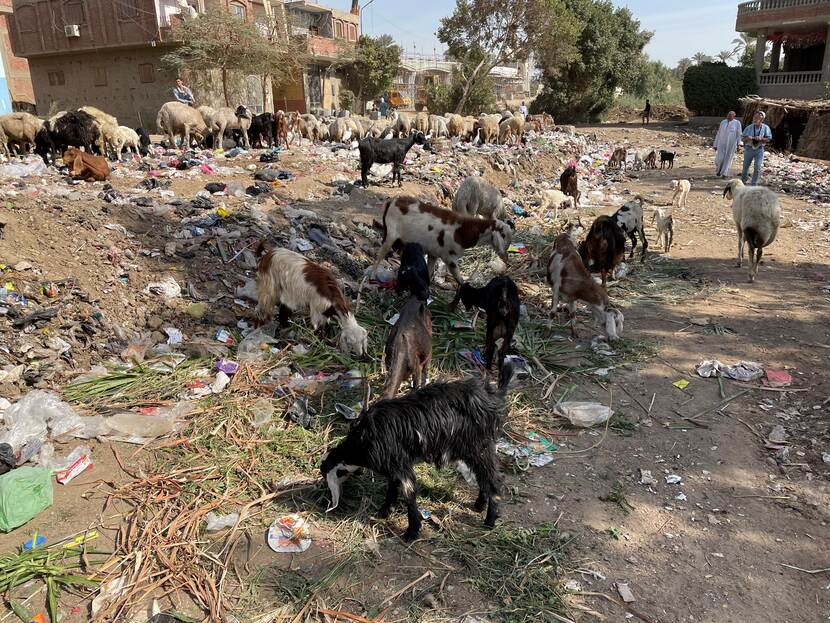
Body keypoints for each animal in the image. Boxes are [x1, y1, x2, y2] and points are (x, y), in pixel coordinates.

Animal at [320, 366, 510, 540]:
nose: (326, 500)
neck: (360, 442)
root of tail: (493, 396)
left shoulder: (400, 465)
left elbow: (409, 494)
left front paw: (411, 532)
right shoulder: (394, 466)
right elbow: (392, 488)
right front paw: (384, 512)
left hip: (478, 447)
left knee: (494, 479)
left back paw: (490, 521)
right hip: (475, 450)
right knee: (483, 475)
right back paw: (479, 505)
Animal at [370, 195, 512, 286]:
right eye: (503, 235)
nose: (506, 257)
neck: (462, 230)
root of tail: (393, 201)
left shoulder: (434, 253)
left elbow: (429, 273)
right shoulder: (449, 258)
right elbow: (460, 280)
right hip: (391, 235)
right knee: (380, 255)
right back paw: (372, 275)